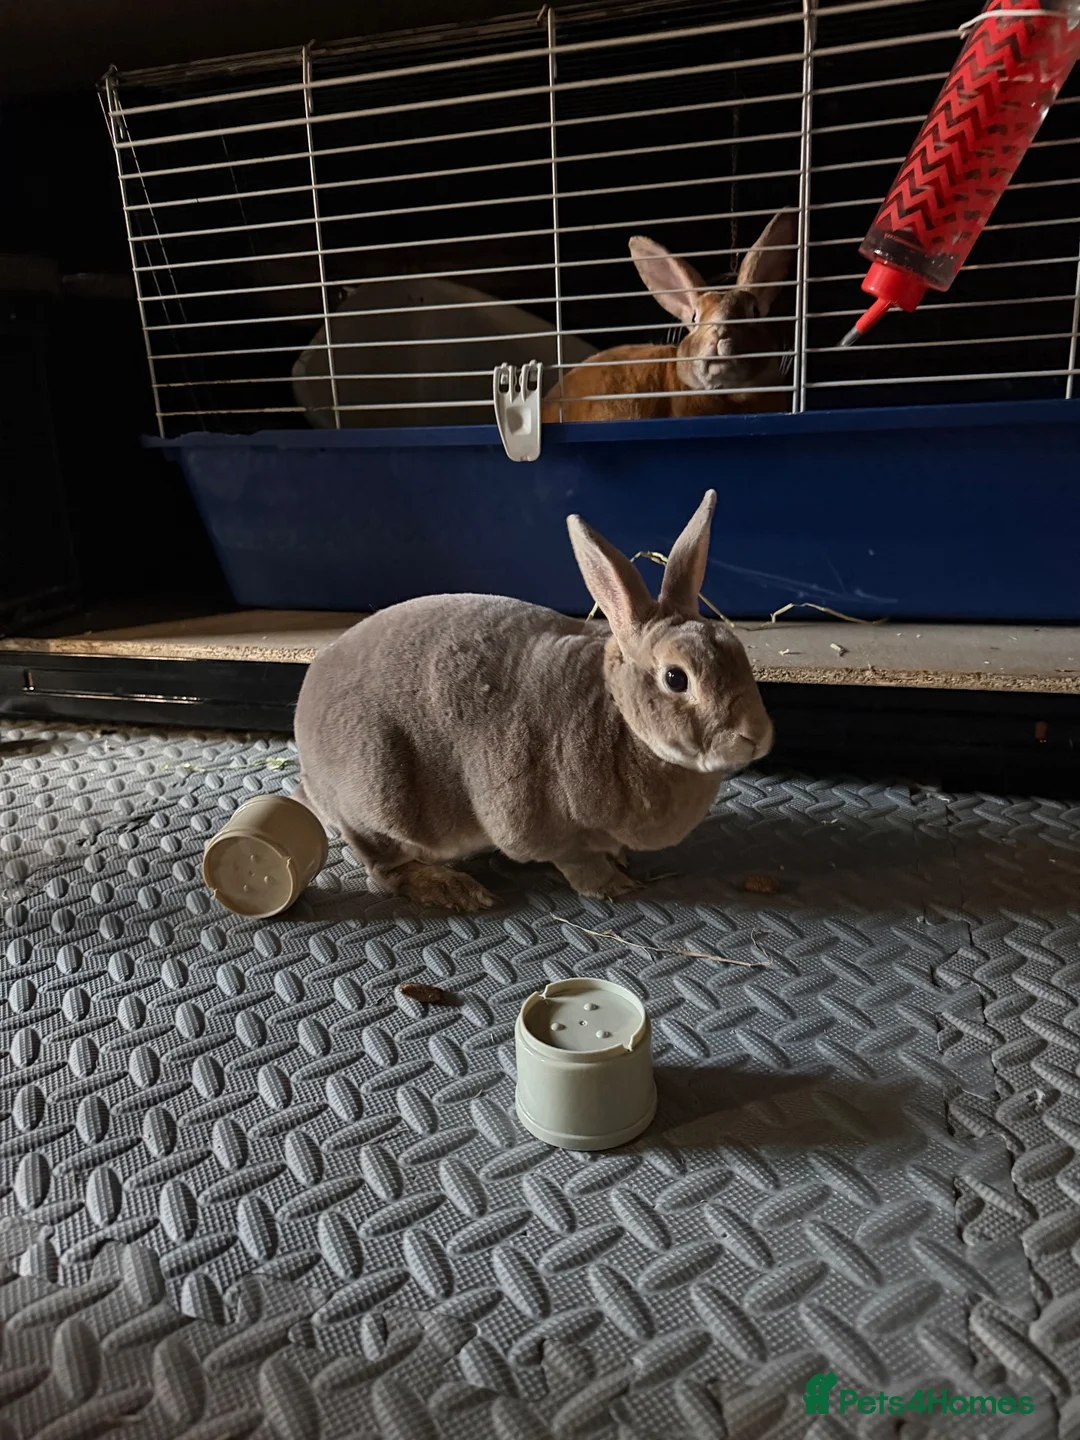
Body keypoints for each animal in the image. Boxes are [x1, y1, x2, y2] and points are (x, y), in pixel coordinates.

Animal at [292, 490, 774, 912]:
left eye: (739, 653)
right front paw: (614, 884)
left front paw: (619, 860)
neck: (619, 719)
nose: (755, 736)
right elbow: (576, 862)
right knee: (384, 870)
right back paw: (456, 890)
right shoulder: (544, 828)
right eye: (676, 678)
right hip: (381, 796)